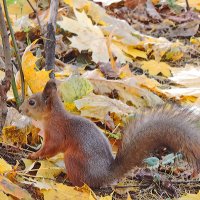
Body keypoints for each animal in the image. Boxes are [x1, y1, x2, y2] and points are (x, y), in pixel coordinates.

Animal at [19, 79, 200, 188]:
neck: (53, 116)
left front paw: (34, 155)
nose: (19, 109)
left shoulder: (56, 134)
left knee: (82, 184)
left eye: (32, 102)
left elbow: (50, 148)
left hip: (72, 159)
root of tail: (105, 175)